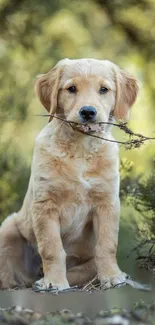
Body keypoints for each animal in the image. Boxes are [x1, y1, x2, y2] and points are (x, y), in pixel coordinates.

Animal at [0, 58, 138, 288]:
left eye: (104, 89)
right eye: (71, 88)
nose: (88, 112)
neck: (81, 149)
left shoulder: (107, 203)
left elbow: (107, 245)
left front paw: (112, 276)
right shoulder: (45, 205)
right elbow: (52, 248)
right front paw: (55, 282)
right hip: (7, 228)